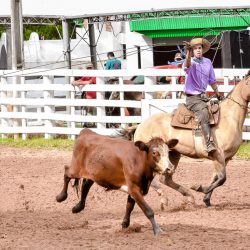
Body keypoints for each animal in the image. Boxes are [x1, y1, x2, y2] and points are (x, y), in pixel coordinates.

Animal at [123, 73, 250, 207]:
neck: (228, 118)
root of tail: (140, 125)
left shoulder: (226, 158)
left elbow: (216, 177)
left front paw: (206, 199)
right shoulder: (218, 154)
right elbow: (221, 178)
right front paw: (199, 188)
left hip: (173, 154)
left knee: (165, 179)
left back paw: (189, 196)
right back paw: (164, 198)